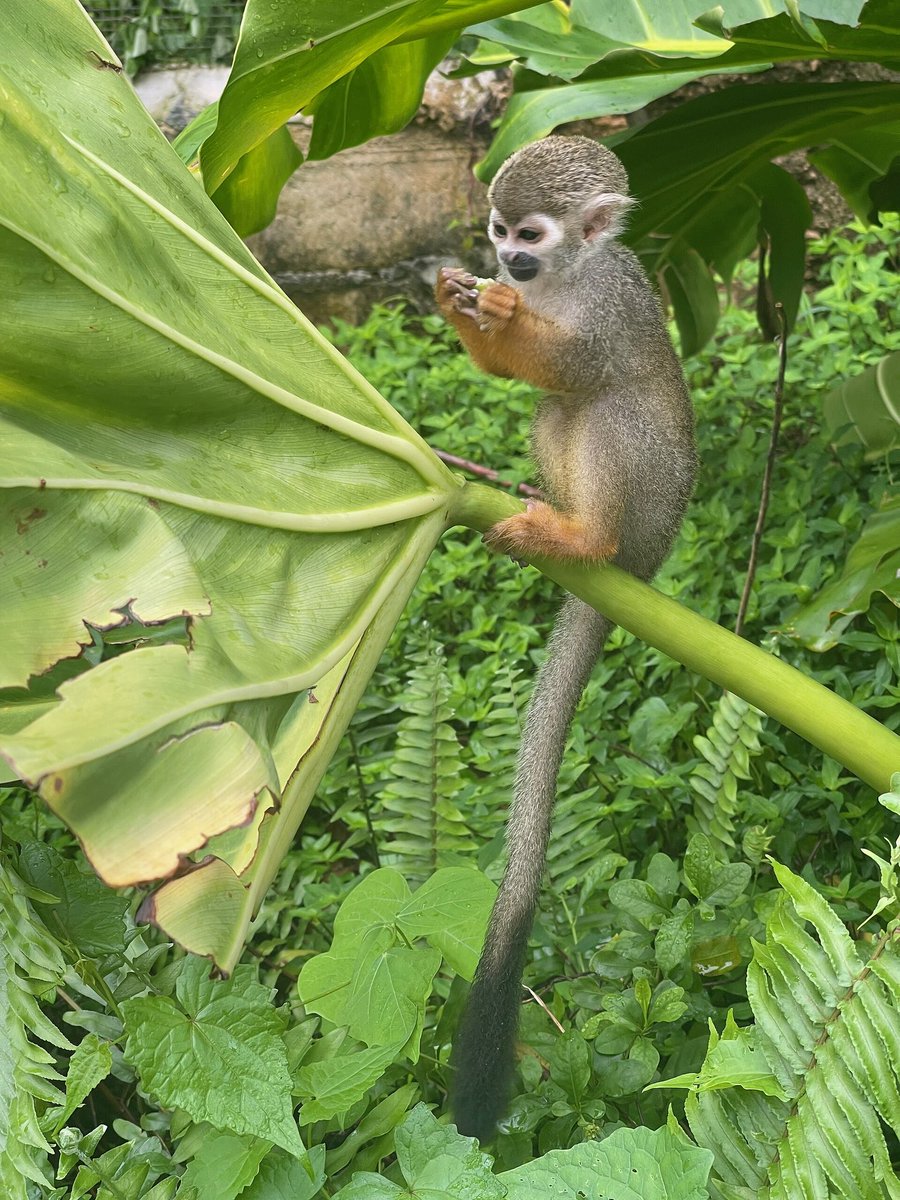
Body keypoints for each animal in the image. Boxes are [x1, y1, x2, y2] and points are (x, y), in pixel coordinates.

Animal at [434, 135, 696, 1143]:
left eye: (532, 236)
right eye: (498, 229)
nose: (507, 265)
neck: (571, 276)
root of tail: (649, 567)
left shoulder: (616, 300)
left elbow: (584, 365)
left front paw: (501, 315)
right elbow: (529, 383)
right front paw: (462, 302)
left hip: (653, 505)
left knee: (608, 403)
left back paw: (587, 541)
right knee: (558, 411)